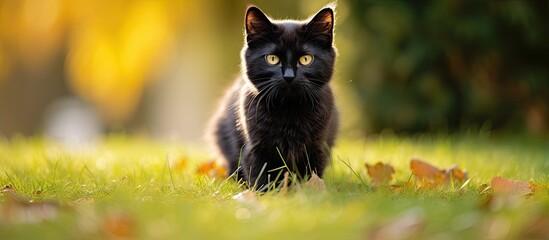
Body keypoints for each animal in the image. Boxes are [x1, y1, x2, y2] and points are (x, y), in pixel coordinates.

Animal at [210, 4, 338, 190]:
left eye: (306, 59)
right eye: (272, 59)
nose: (289, 76)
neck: (289, 109)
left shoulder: (316, 146)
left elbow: (311, 172)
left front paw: (308, 191)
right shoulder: (257, 147)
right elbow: (260, 172)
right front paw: (266, 193)